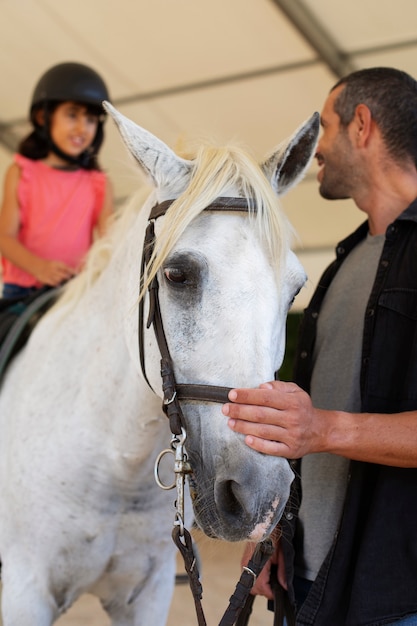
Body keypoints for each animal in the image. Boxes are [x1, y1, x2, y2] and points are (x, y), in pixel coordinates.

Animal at [0, 105, 318, 620]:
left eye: (295, 288)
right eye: (176, 274)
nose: (261, 498)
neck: (114, 466)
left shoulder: (146, 594)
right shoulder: (25, 594)